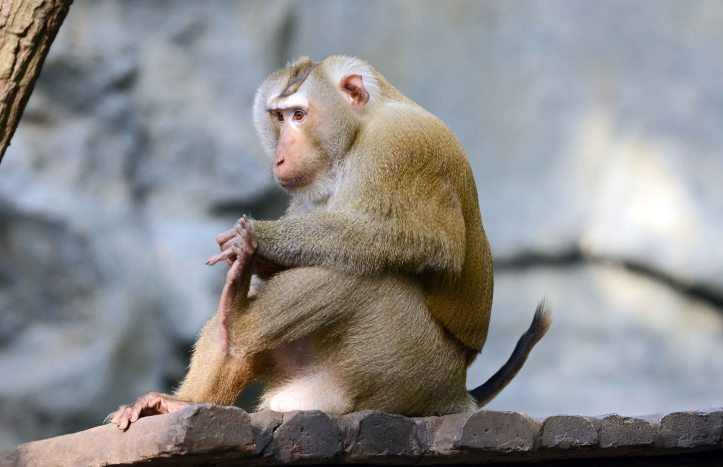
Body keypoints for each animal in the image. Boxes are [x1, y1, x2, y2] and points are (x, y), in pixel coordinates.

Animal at [108, 56, 551, 430]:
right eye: (278, 116)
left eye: (299, 115)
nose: (280, 156)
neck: (359, 133)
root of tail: (458, 394)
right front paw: (262, 257)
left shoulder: (404, 147)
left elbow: (428, 244)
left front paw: (264, 240)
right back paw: (187, 395)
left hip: (411, 372)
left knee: (360, 276)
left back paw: (235, 318)